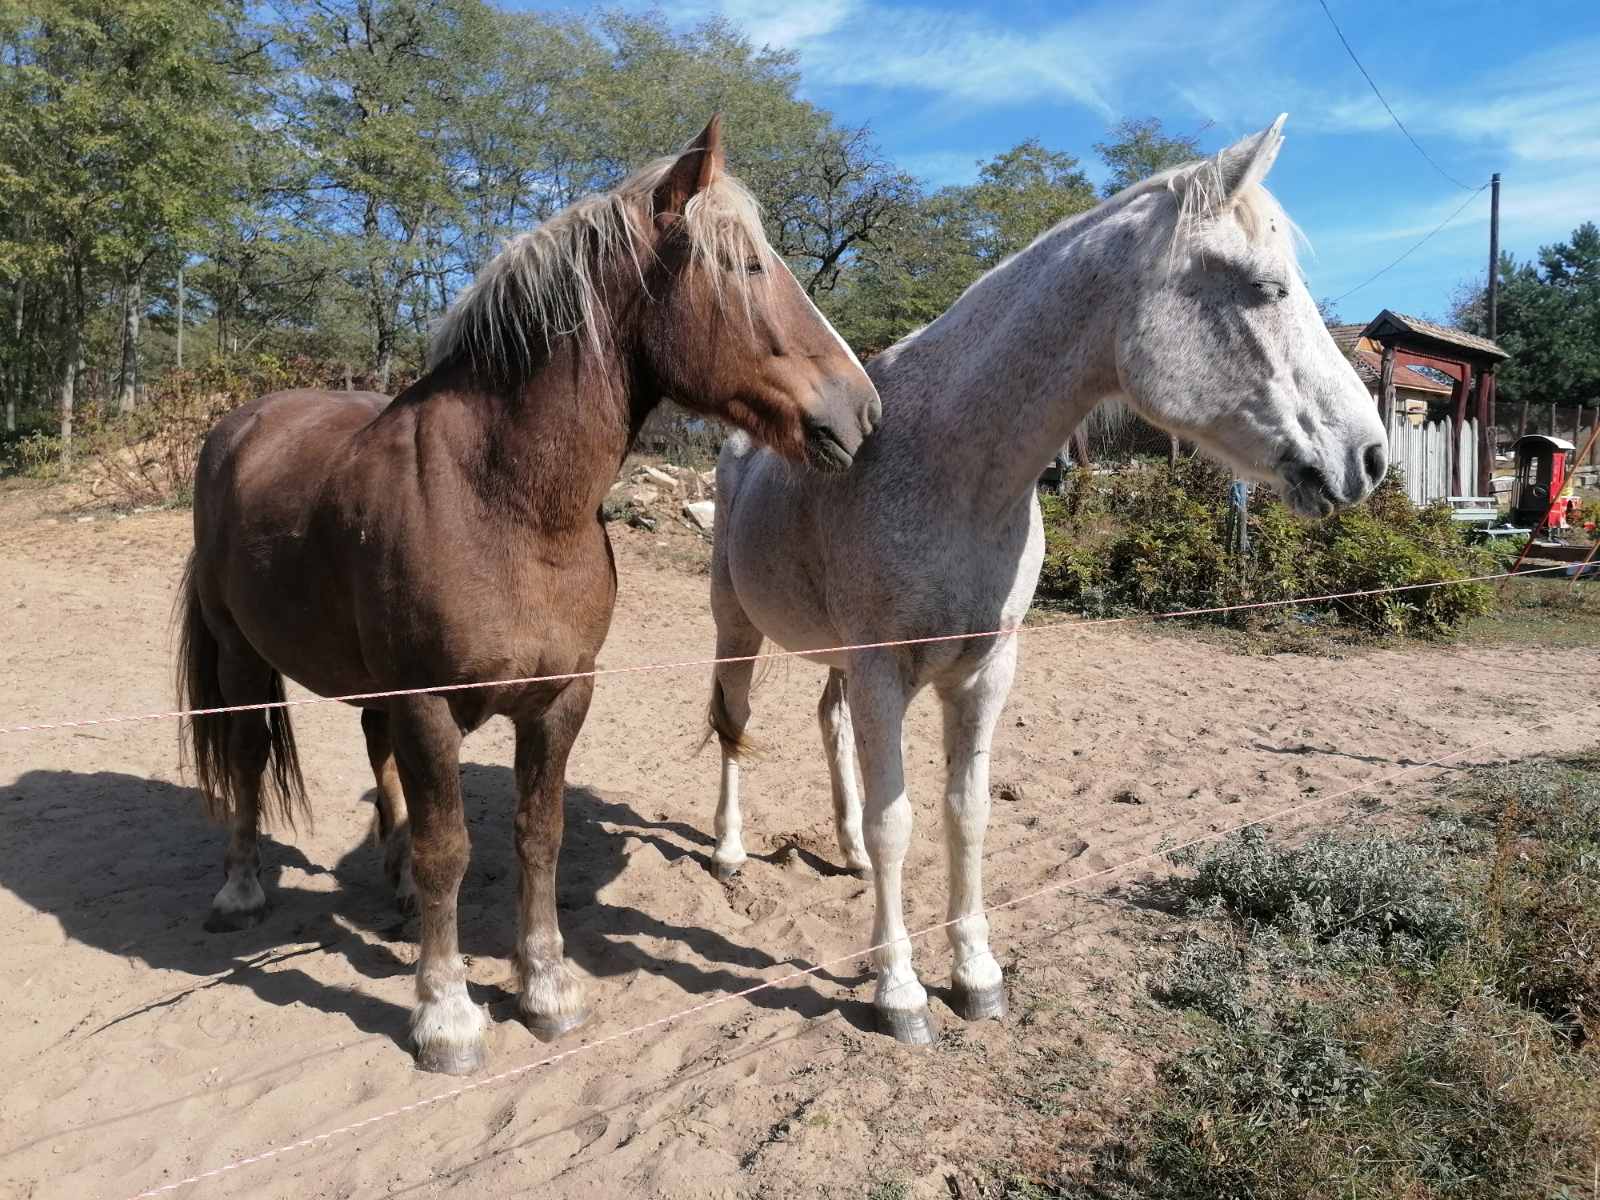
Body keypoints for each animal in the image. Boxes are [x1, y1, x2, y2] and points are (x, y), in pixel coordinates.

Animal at [178, 120, 876, 1081]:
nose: (862, 412)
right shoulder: (427, 703)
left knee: (373, 759)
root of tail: (238, 427)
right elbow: (451, 849)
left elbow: (536, 835)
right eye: (744, 268)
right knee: (247, 759)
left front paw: (545, 988)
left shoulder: (561, 697)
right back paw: (241, 889)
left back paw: (392, 885)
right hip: (245, 658)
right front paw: (446, 1016)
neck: (501, 499)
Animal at [700, 117, 1388, 1049]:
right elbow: (897, 820)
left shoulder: (985, 671)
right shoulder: (884, 669)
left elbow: (965, 813)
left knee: (827, 724)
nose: (1370, 456)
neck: (950, 469)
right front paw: (900, 994)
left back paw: (842, 851)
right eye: (1264, 287)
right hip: (737, 628)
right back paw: (730, 851)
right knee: (734, 724)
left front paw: (976, 977)